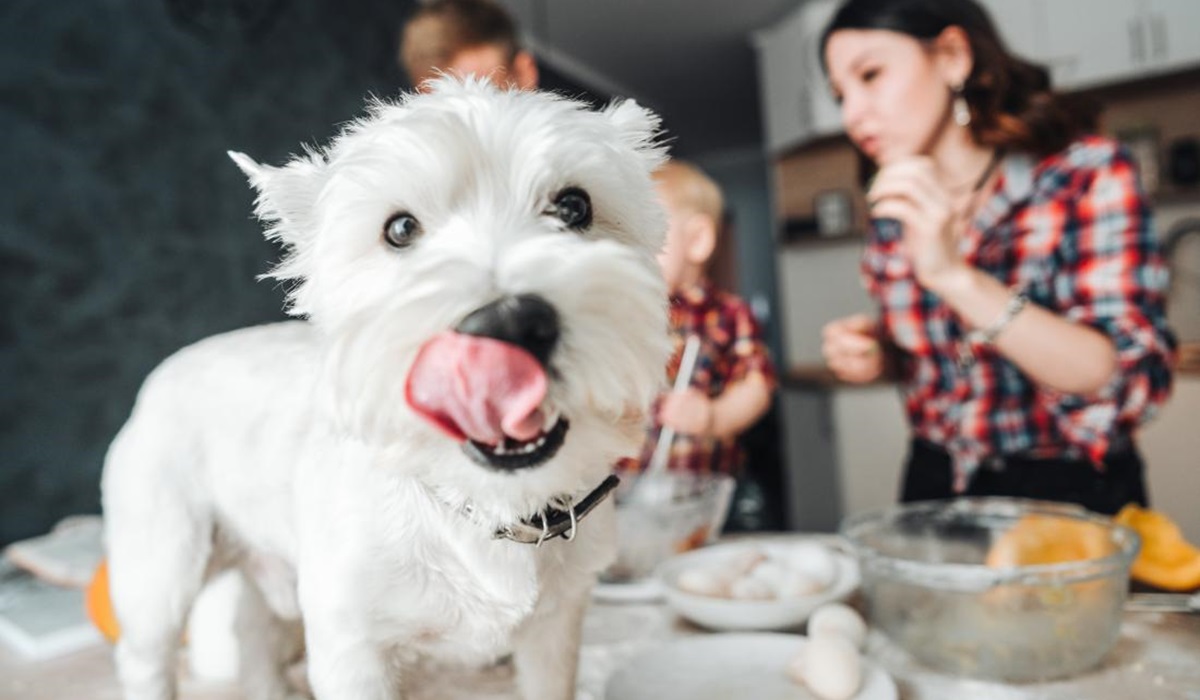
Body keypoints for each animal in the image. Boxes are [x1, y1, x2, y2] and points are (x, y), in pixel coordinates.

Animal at [99, 78, 672, 700]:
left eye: (574, 206)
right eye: (399, 230)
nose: (508, 324)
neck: (483, 504)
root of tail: (162, 373)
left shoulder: (556, 628)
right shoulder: (353, 647)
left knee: (253, 635)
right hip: (161, 567)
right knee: (147, 653)